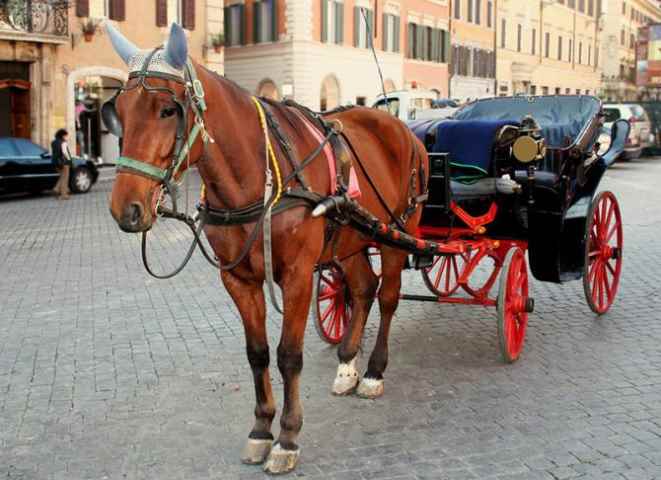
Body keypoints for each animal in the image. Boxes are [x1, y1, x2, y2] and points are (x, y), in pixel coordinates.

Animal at [105, 22, 428, 474]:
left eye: (168, 110)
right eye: (119, 111)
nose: (126, 208)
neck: (257, 176)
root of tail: (400, 126)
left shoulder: (296, 277)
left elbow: (288, 355)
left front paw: (287, 438)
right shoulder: (238, 279)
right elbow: (257, 353)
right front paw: (261, 430)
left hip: (399, 231)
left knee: (388, 298)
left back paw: (373, 373)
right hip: (351, 239)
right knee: (363, 287)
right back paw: (348, 364)